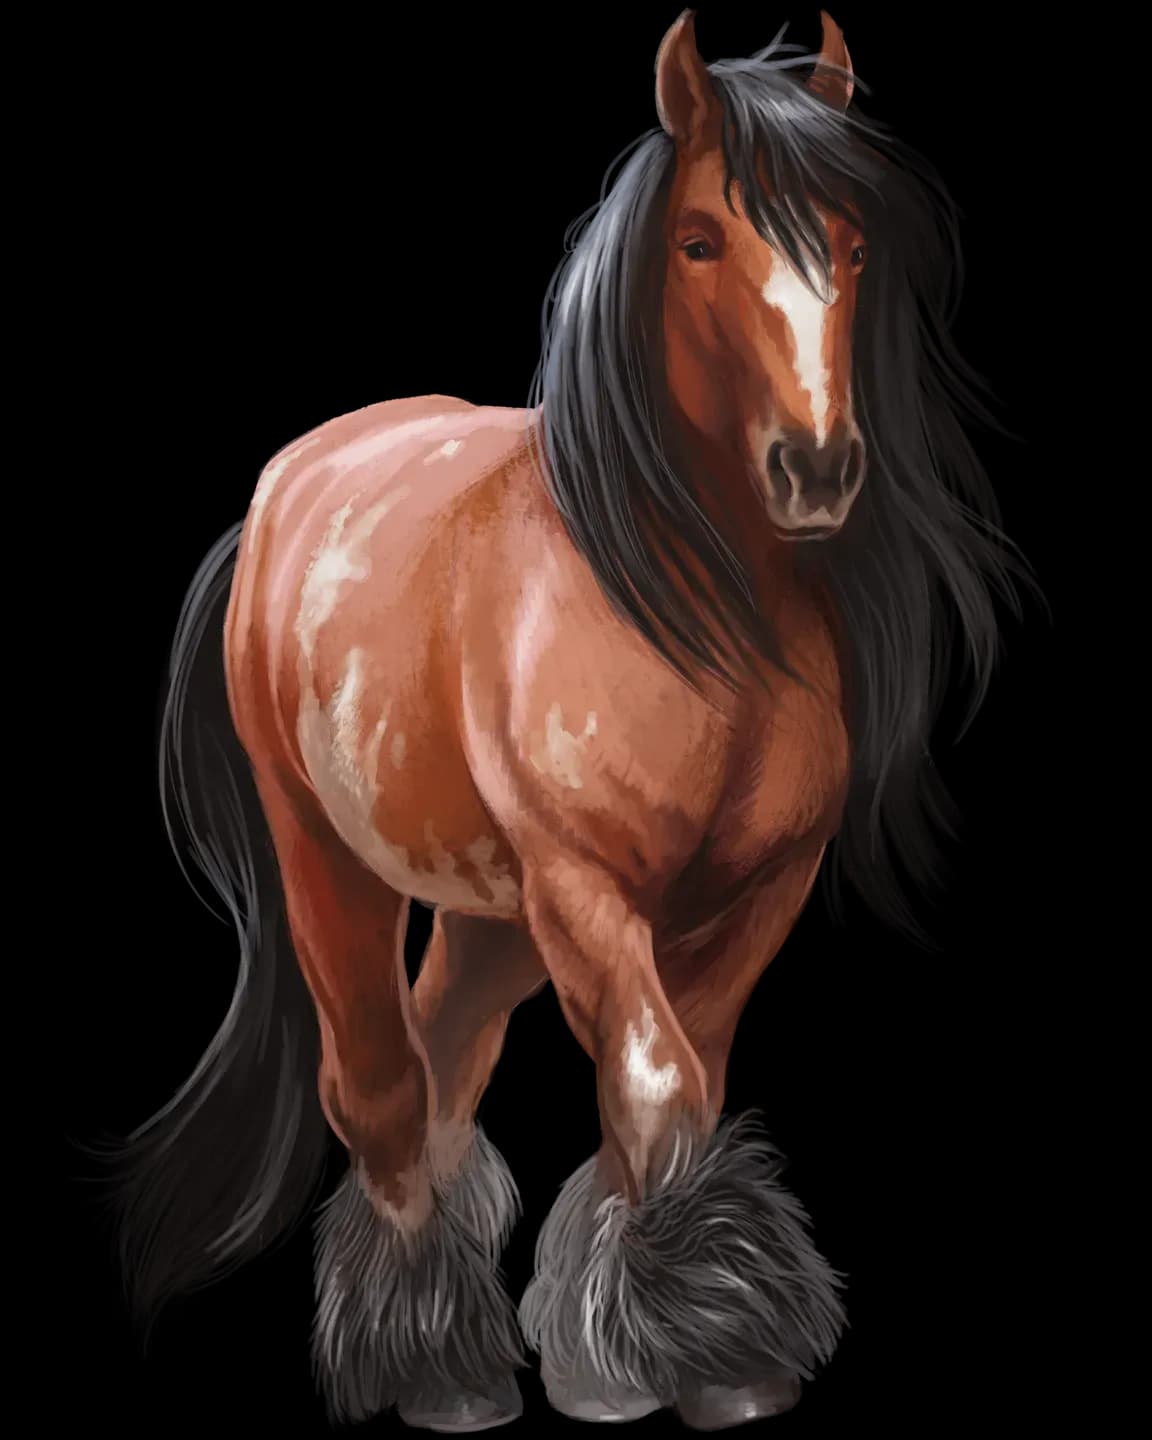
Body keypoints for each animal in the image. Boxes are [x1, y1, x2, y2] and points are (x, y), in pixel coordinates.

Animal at [109, 11, 1026, 1432]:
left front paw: (637, 1355)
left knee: (440, 1071)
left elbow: (681, 1093)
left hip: (493, 919)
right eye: (699, 240)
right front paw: (707, 1349)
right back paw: (439, 1373)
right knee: (378, 1087)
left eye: (856, 243)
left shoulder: (748, 895)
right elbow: (653, 1088)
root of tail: (277, 496)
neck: (694, 615)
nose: (816, 470)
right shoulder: (592, 894)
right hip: (337, 870)